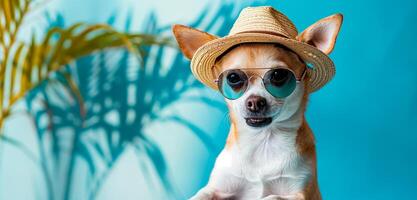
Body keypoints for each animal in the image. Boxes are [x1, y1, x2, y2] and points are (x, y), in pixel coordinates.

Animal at [171, 5, 342, 199]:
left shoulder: (300, 192)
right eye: (233, 78)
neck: (263, 141)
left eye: (278, 75)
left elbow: (272, 196)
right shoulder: (217, 188)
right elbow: (201, 195)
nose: (255, 102)